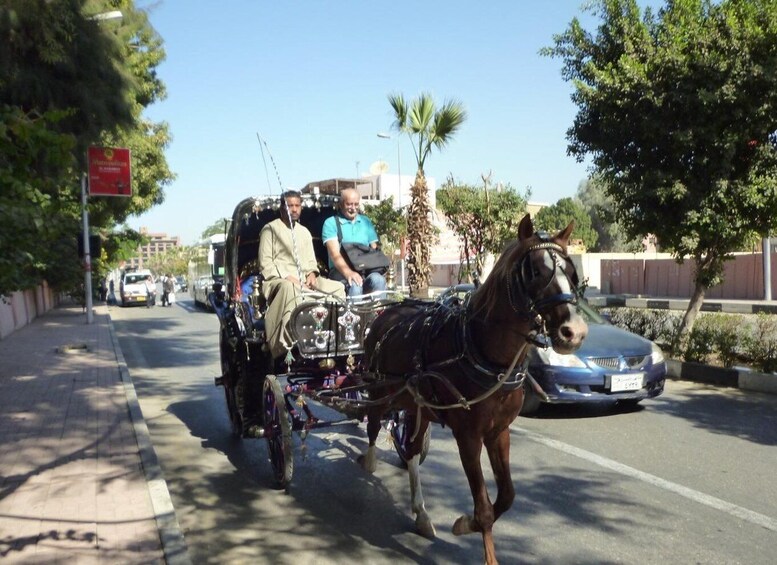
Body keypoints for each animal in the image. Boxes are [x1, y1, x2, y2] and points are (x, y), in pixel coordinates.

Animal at [360, 214, 584, 560]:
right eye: (535, 271)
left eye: (572, 273)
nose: (574, 332)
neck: (481, 350)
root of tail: (389, 311)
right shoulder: (468, 436)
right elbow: (486, 509)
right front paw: (472, 528)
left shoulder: (498, 432)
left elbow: (507, 496)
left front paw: (465, 523)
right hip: (379, 392)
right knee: (372, 425)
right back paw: (370, 461)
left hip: (417, 407)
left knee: (412, 451)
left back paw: (421, 513)